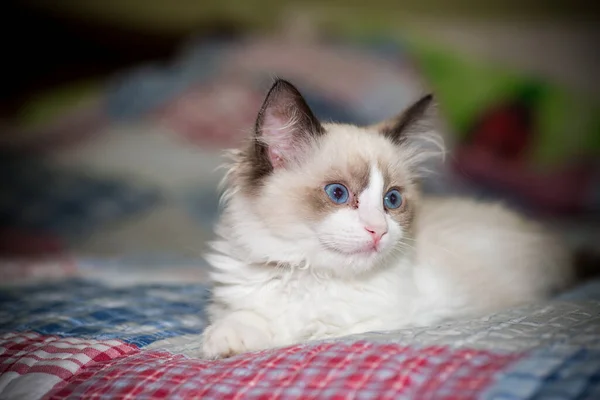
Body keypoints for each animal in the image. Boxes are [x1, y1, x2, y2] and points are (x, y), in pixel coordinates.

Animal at [199, 79, 576, 360]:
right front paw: (221, 343)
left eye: (391, 200)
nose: (378, 230)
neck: (311, 275)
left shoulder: (396, 317)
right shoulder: (235, 301)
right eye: (338, 193)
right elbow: (243, 319)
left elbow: (311, 334)